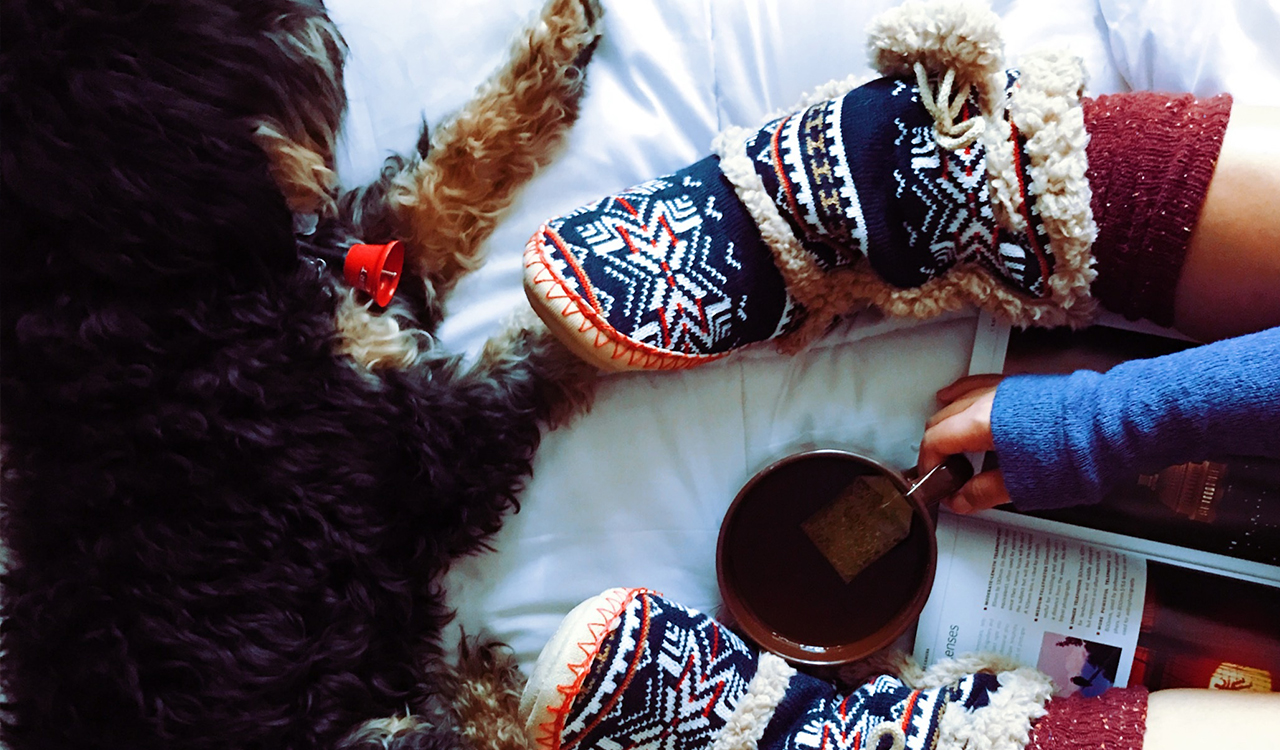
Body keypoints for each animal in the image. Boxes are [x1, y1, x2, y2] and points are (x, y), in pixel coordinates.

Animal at [1, 0, 599, 742]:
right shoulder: (422, 447)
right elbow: (539, 350)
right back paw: (486, 696)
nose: (308, 14)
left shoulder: (368, 267)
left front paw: (558, 40)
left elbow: (450, 171)